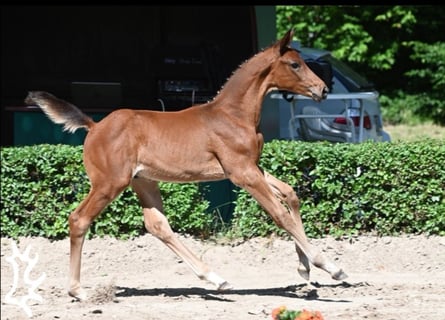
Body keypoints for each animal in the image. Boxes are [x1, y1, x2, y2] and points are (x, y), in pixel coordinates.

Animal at [25, 29, 346, 300]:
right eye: (294, 64)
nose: (322, 90)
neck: (233, 114)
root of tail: (94, 126)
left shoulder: (251, 167)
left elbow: (290, 194)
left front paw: (305, 268)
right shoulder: (242, 174)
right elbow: (280, 215)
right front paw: (329, 265)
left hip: (143, 181)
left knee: (157, 225)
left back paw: (215, 278)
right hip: (109, 183)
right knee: (79, 219)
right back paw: (78, 290)